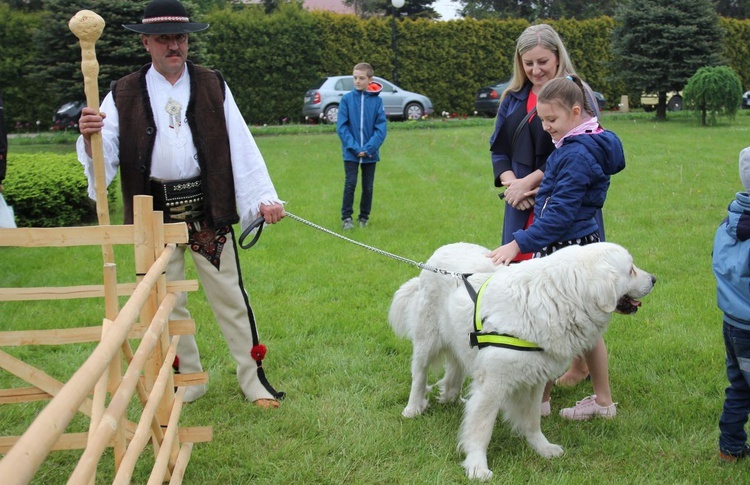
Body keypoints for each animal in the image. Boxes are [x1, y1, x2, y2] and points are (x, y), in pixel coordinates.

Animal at [390, 242, 656, 480]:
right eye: (631, 269)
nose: (654, 278)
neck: (560, 298)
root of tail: (437, 253)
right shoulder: (493, 383)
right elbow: (481, 428)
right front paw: (477, 466)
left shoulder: (535, 379)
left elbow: (532, 420)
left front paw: (542, 448)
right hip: (427, 340)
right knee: (419, 376)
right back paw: (413, 409)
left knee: (454, 371)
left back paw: (452, 398)